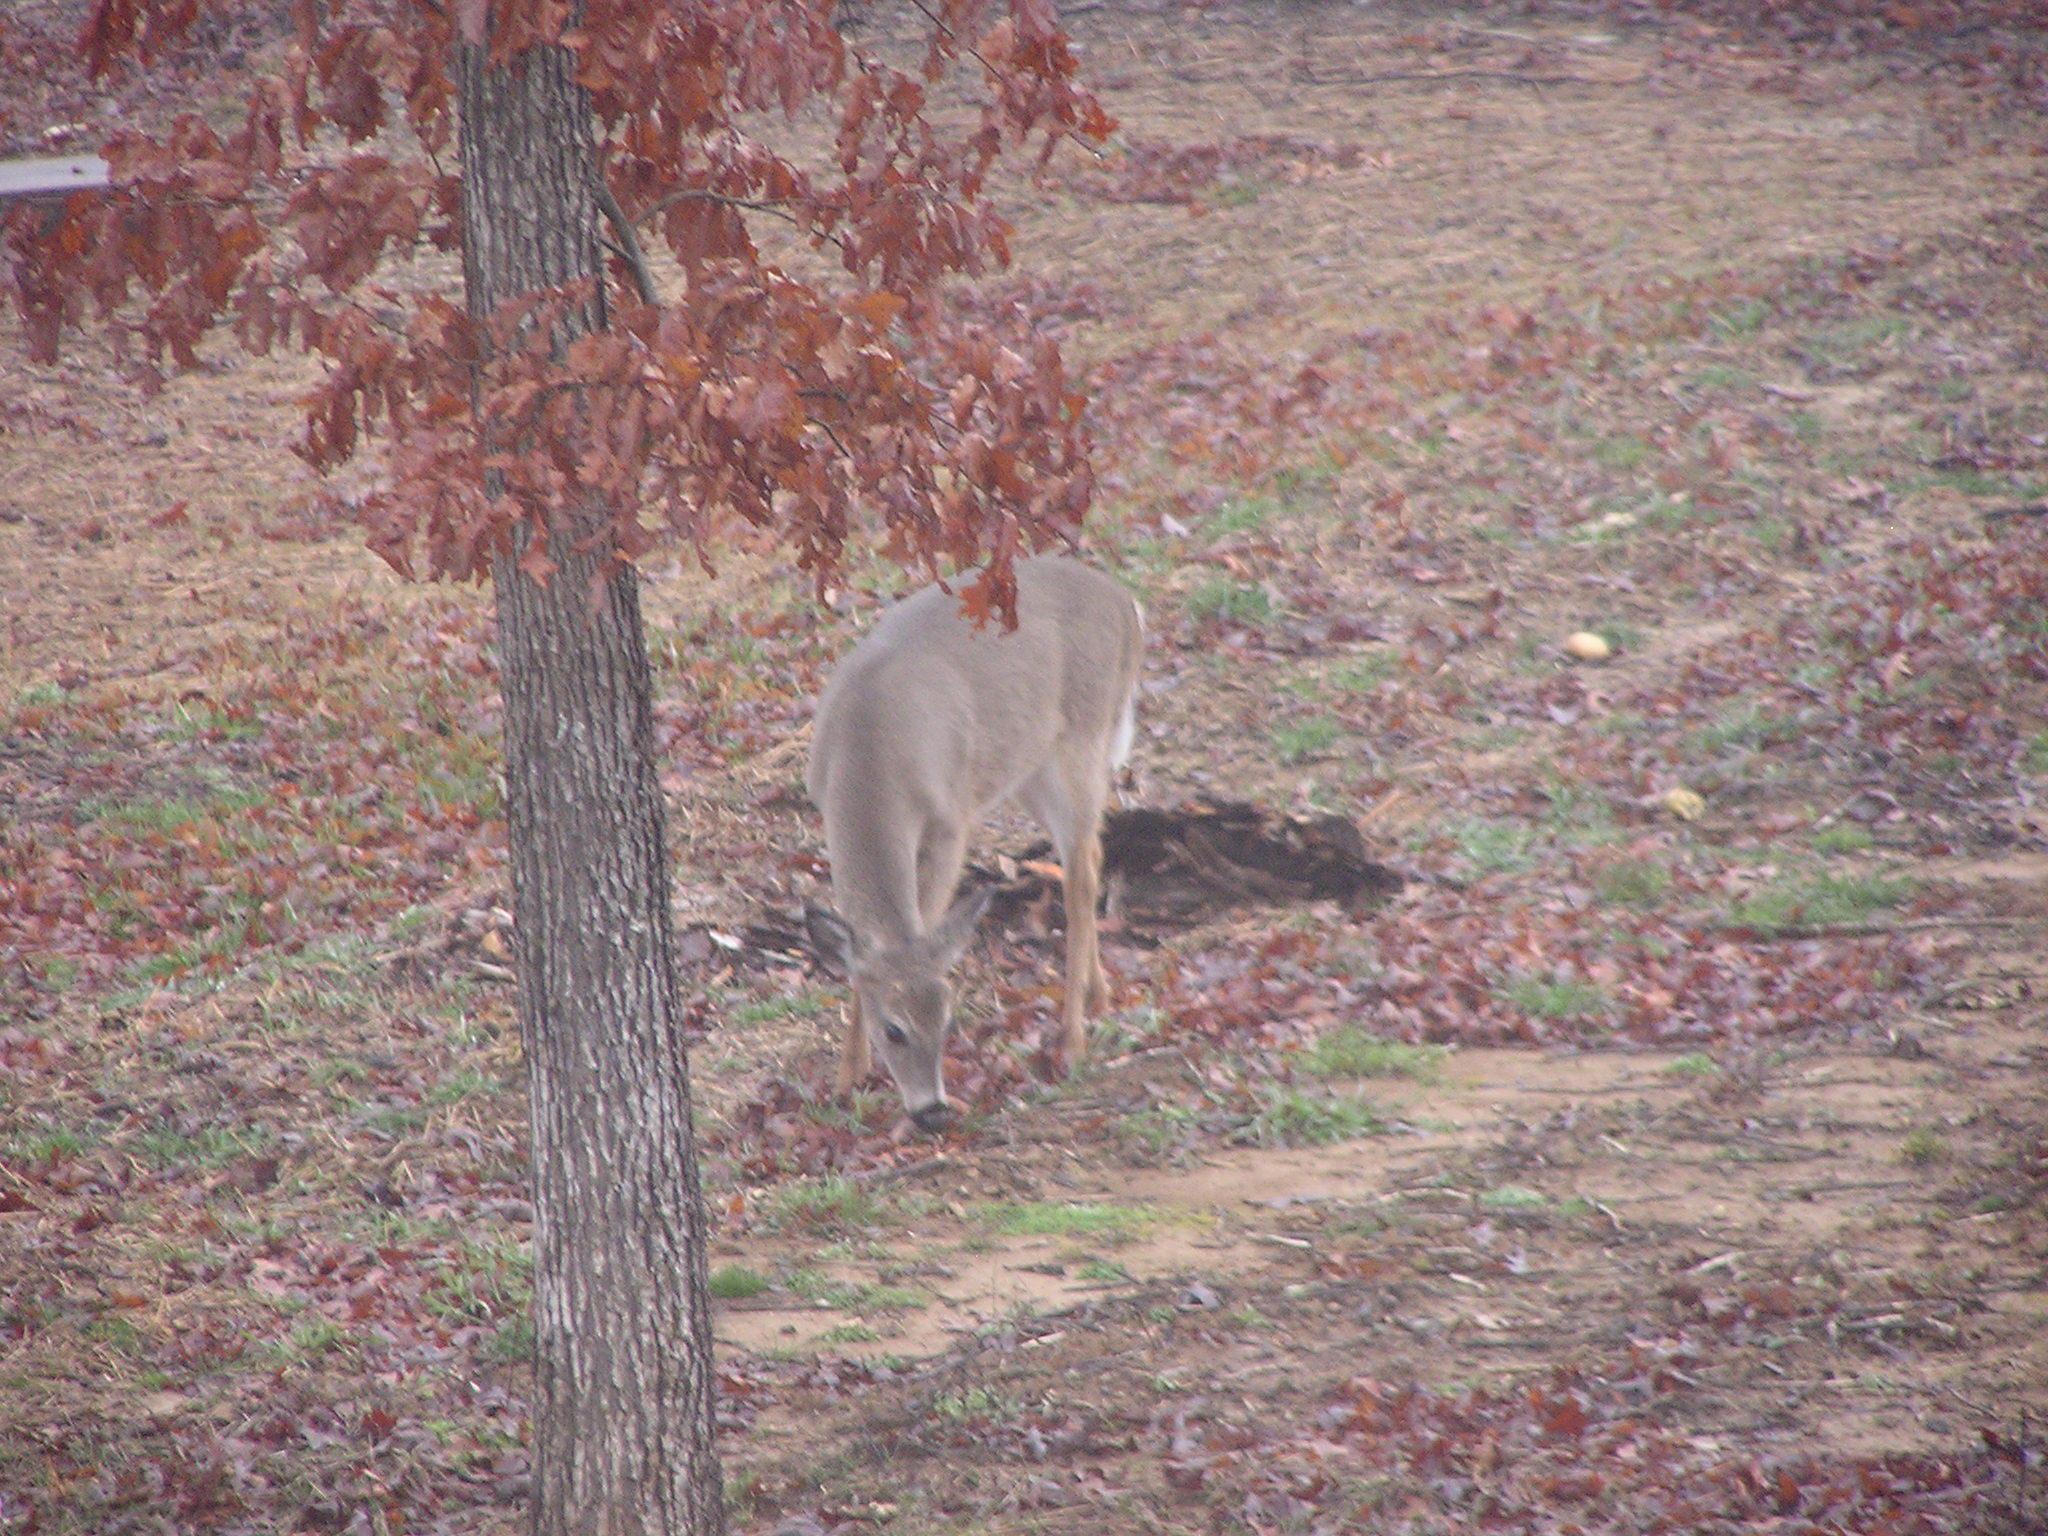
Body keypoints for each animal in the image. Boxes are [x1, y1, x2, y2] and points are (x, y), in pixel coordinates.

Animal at [803, 554, 1145, 1134]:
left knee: (1080, 878)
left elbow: (925, 923)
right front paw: (848, 1079)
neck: (866, 760)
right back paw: (1101, 997)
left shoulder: (950, 820)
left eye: (948, 1020)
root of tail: (1127, 603)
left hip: (1083, 735)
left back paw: (1074, 1039)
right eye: (893, 1029)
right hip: (1029, 766)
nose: (933, 1112)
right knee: (1091, 852)